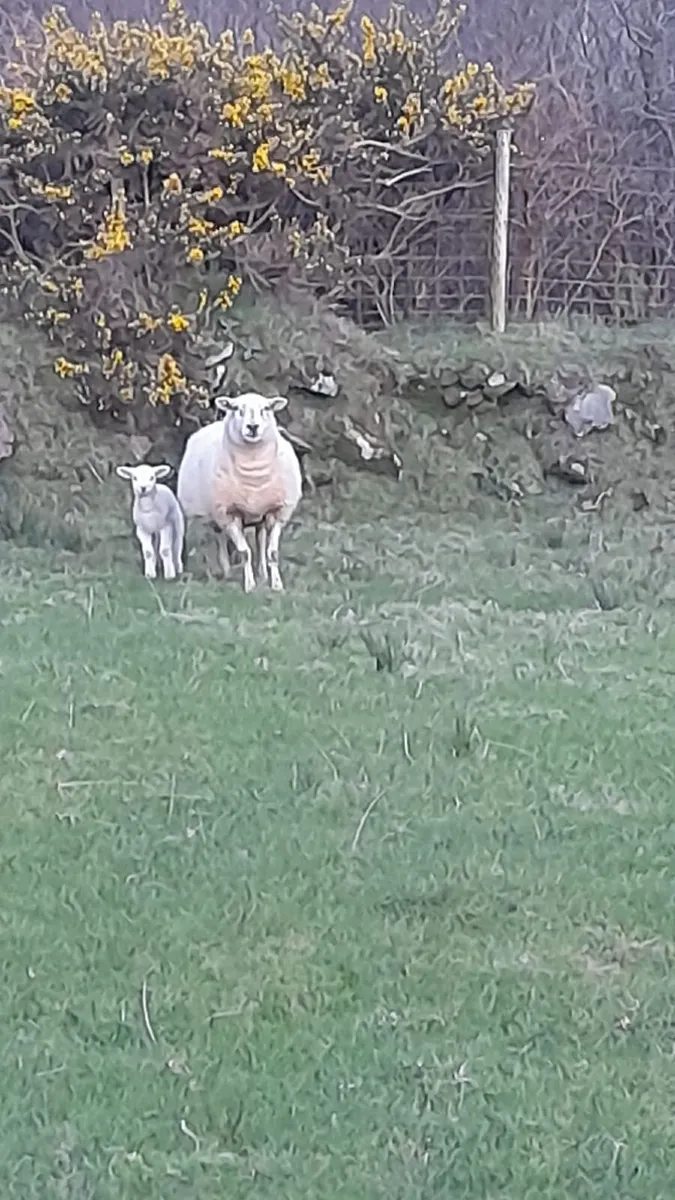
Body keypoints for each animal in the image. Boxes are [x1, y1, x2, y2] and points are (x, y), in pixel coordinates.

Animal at [177, 391, 302, 592]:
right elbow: (244, 552)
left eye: (266, 408)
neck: (253, 472)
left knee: (260, 539)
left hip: (259, 515)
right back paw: (227, 571)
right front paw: (249, 585)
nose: (252, 427)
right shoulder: (228, 513)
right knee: (220, 538)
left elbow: (272, 552)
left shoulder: (278, 512)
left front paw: (276, 584)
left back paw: (262, 573)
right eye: (236, 409)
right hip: (212, 514)